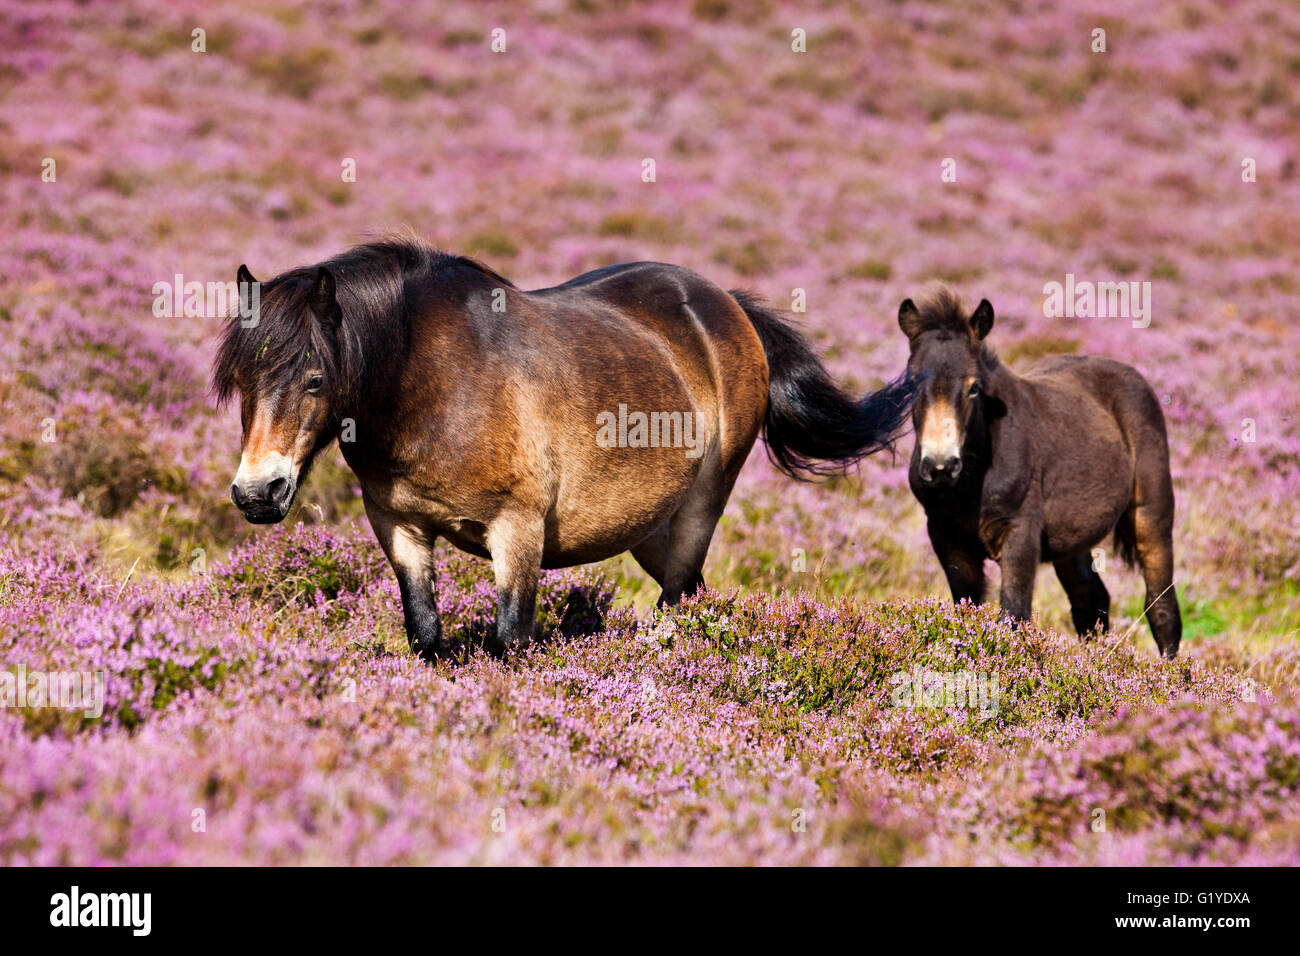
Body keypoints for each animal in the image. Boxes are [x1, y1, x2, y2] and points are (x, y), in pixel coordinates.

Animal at [213, 235, 909, 660]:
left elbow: (510, 641)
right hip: (650, 528)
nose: (257, 493)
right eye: (241, 380)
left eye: (315, 378)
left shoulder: (517, 531)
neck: (430, 383)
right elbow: (427, 636)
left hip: (698, 509)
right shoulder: (399, 527)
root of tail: (726, 306)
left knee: (678, 603)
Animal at [899, 287, 1185, 658]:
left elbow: (1013, 616)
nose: (940, 467)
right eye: (910, 386)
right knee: (1091, 601)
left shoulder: (1021, 533)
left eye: (973, 387)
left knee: (1162, 607)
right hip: (1071, 538)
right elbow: (965, 616)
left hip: (1151, 515)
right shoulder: (948, 538)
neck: (970, 485)